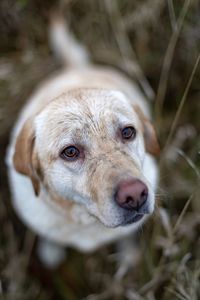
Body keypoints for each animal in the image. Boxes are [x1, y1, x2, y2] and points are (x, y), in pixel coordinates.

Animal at [6, 12, 159, 268]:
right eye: (70, 152)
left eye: (128, 132)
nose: (135, 195)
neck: (85, 221)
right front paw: (51, 250)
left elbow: (125, 236)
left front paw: (128, 256)